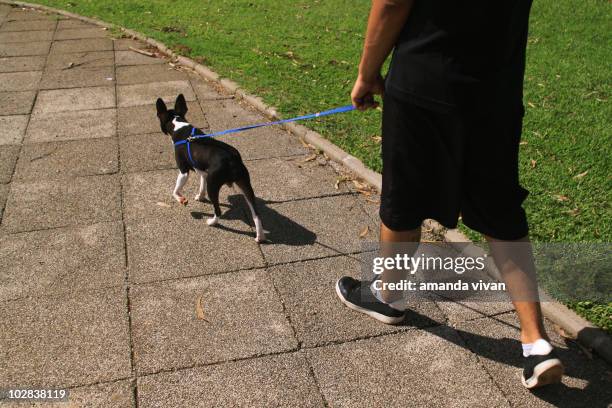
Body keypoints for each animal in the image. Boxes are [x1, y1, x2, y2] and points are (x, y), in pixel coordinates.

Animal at [157, 95, 264, 242]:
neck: (178, 125)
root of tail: (232, 160)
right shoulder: (202, 171)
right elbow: (201, 183)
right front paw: (200, 196)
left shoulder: (183, 171)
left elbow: (175, 190)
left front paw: (182, 200)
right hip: (244, 184)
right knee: (256, 213)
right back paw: (260, 236)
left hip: (213, 185)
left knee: (218, 210)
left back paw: (212, 222)